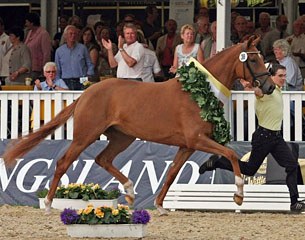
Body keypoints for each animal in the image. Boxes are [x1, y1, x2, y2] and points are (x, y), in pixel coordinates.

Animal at [1, 36, 274, 216]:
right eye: (254, 61)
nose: (270, 87)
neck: (198, 92)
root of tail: (86, 93)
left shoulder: (187, 146)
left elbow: (172, 173)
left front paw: (160, 206)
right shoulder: (196, 140)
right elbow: (230, 154)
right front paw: (238, 195)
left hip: (123, 137)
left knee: (103, 159)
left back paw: (131, 192)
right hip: (85, 136)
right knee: (63, 162)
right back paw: (48, 204)